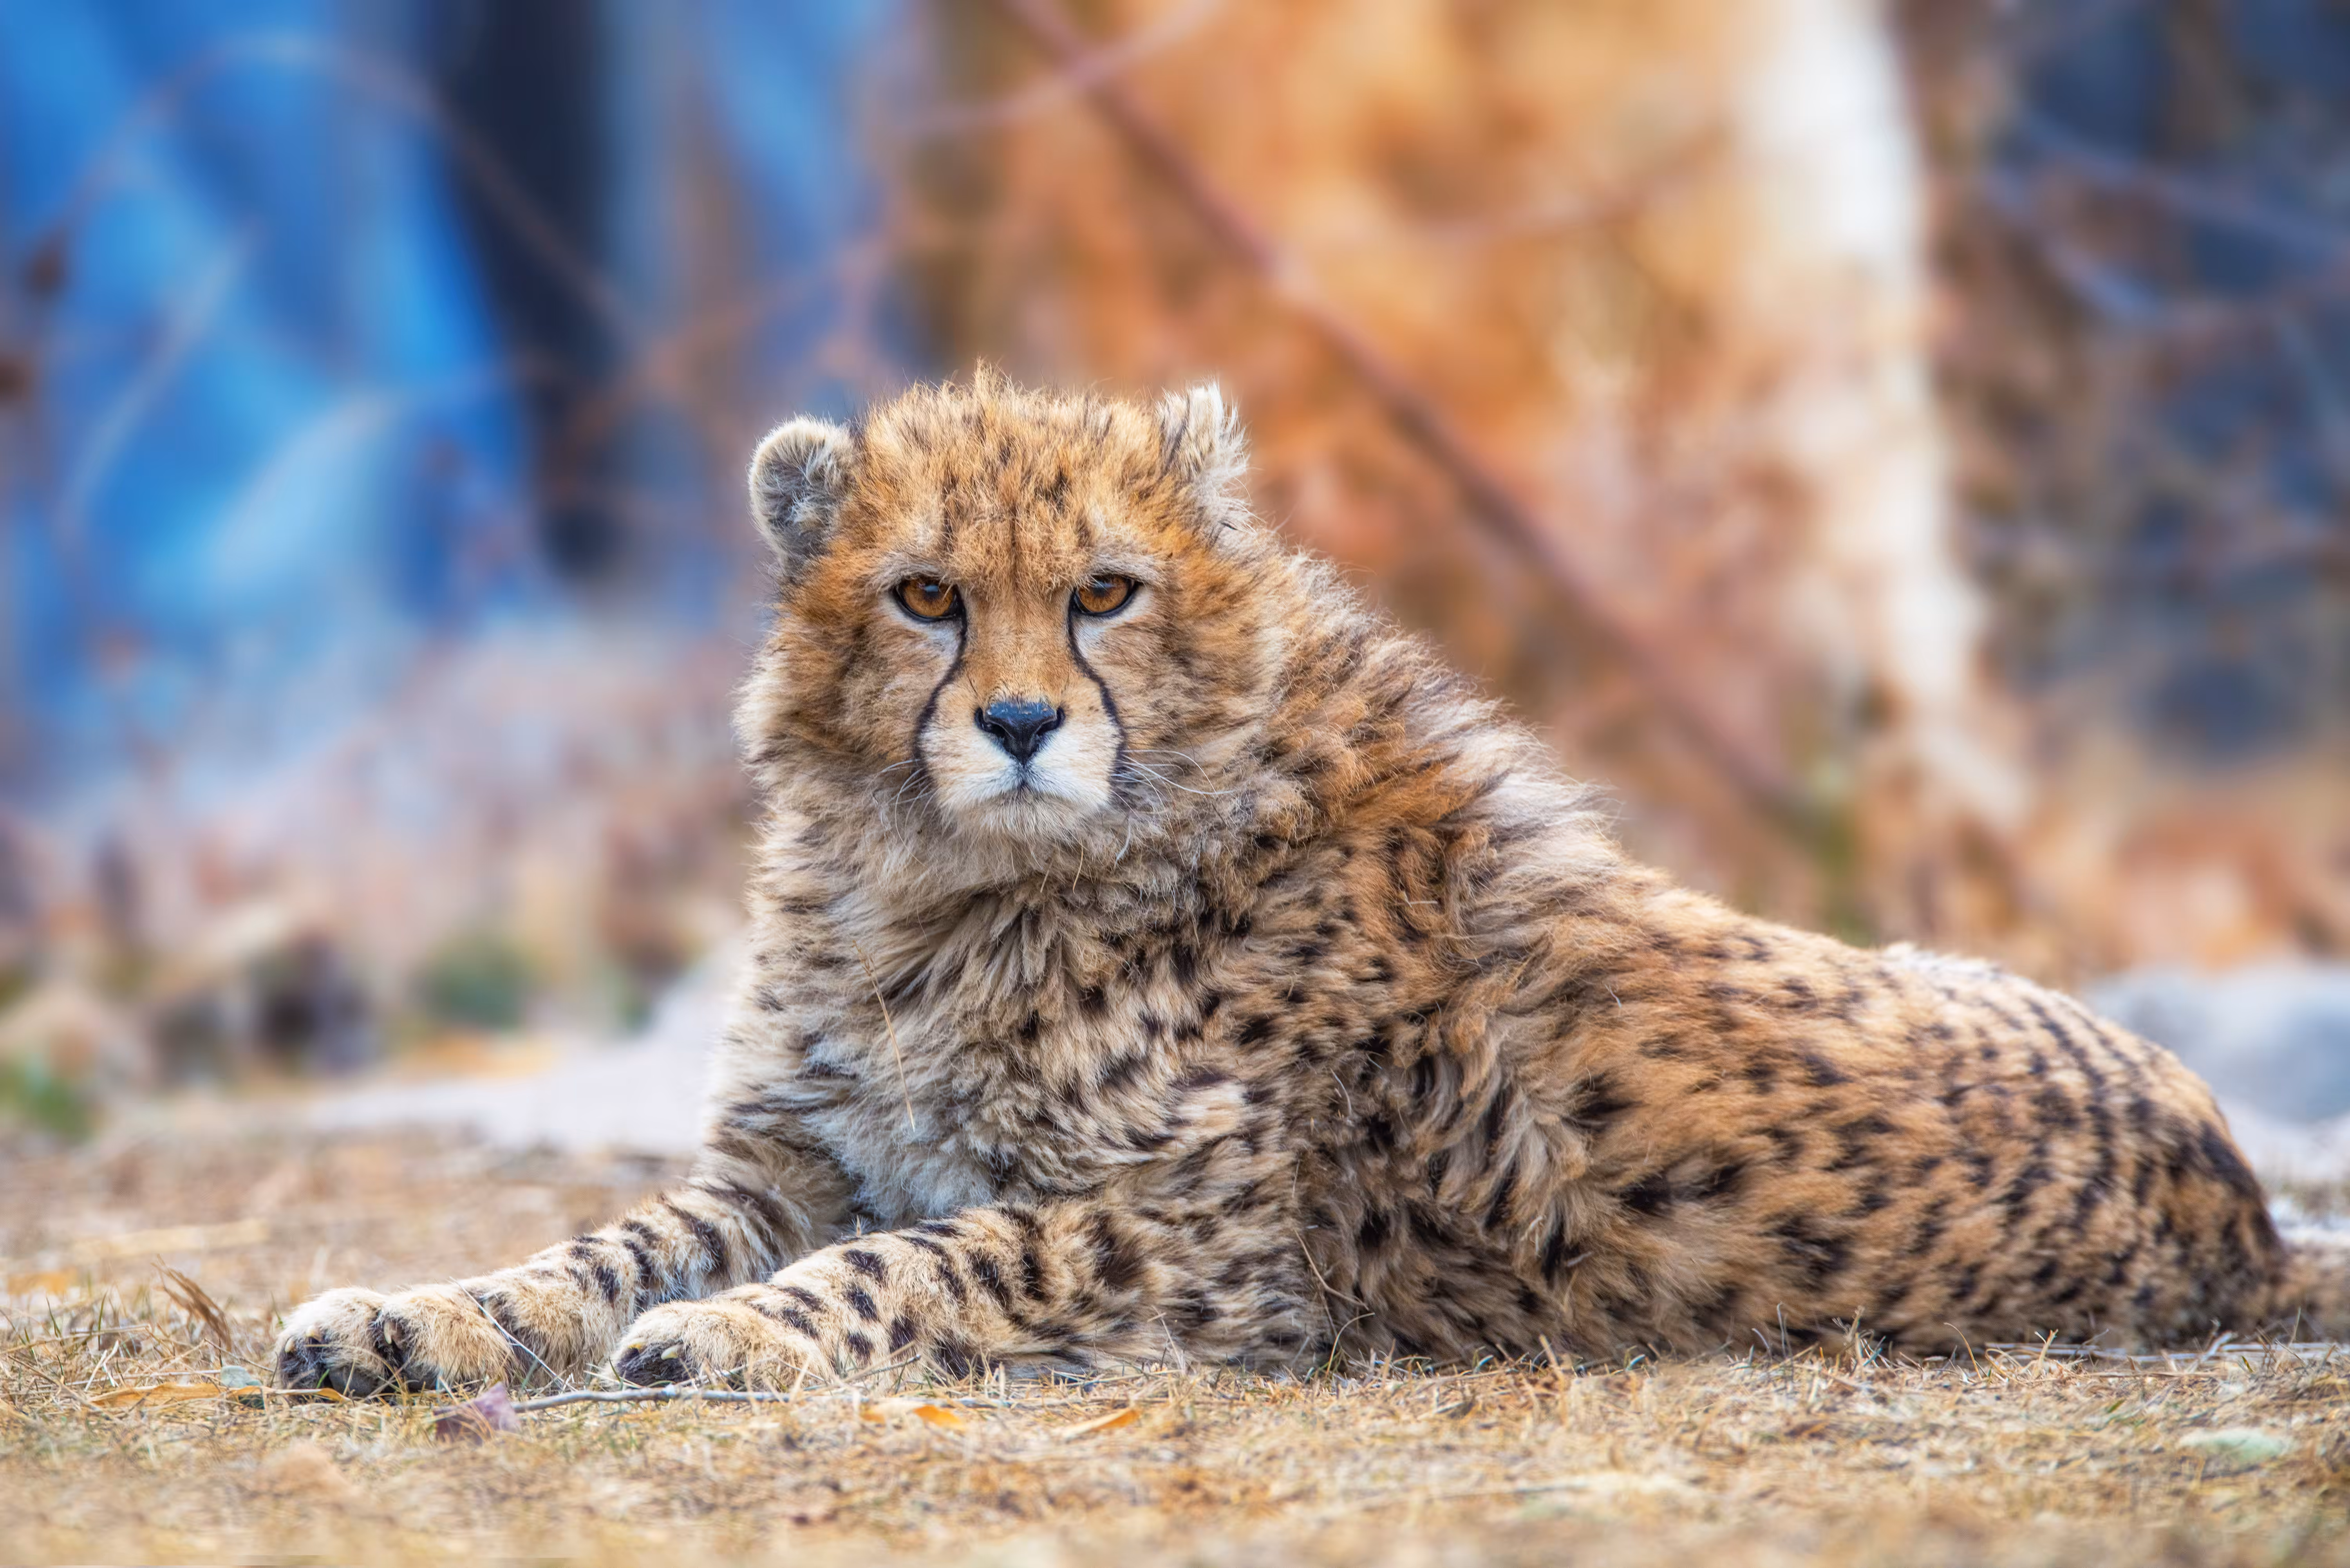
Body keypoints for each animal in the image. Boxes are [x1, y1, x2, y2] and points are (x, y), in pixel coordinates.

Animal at [276, 371, 2348, 1395]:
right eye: (926, 593)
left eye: (1103, 590)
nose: (1018, 720)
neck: (961, 889)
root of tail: (2245, 1210)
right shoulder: (794, 1157)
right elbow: (598, 1244)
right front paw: (411, 1317)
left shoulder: (1197, 1245)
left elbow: (919, 1258)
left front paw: (730, 1334)